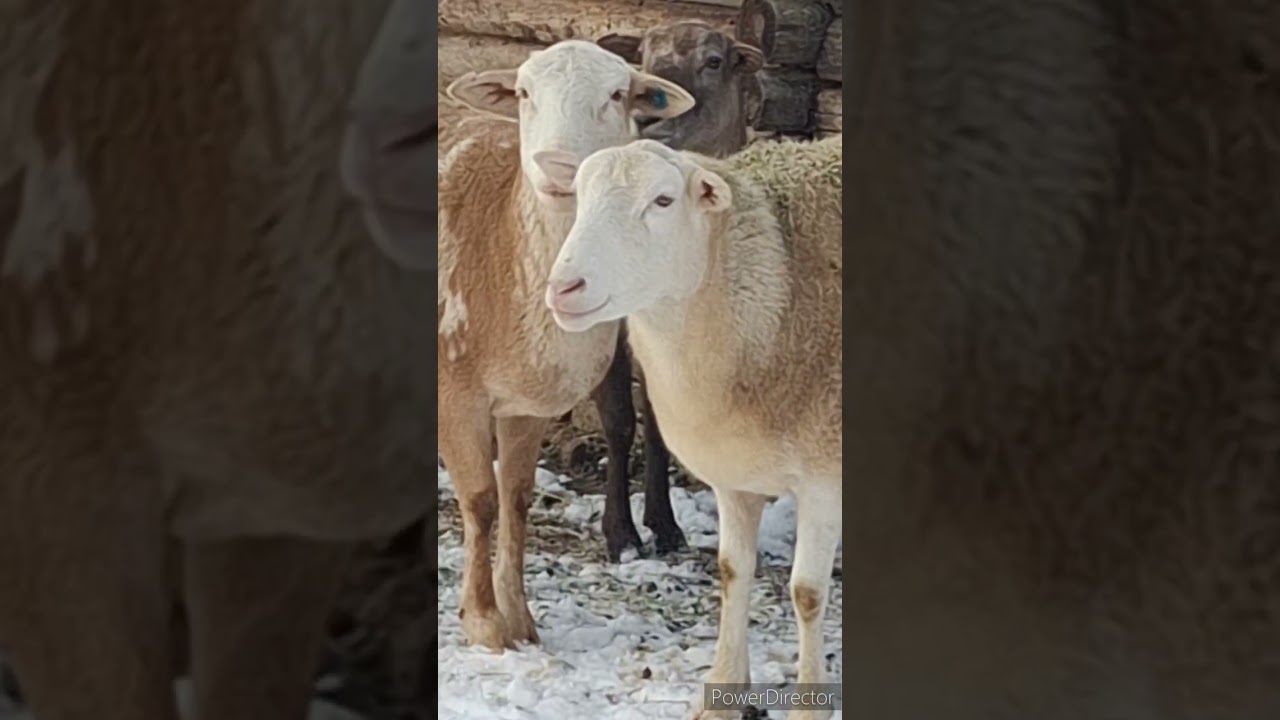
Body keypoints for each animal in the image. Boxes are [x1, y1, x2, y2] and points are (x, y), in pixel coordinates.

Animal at [434, 40, 696, 651]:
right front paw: (483, 622)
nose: (557, 167)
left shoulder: (526, 402)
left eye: (618, 94)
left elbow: (516, 496)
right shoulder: (453, 387)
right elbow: (480, 499)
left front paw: (519, 619)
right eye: (523, 93)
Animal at [539, 136, 842, 719]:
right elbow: (732, 571)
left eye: (662, 201)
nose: (564, 288)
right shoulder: (733, 473)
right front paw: (724, 691)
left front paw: (809, 705)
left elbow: (807, 594)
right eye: (578, 194)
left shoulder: (823, 478)